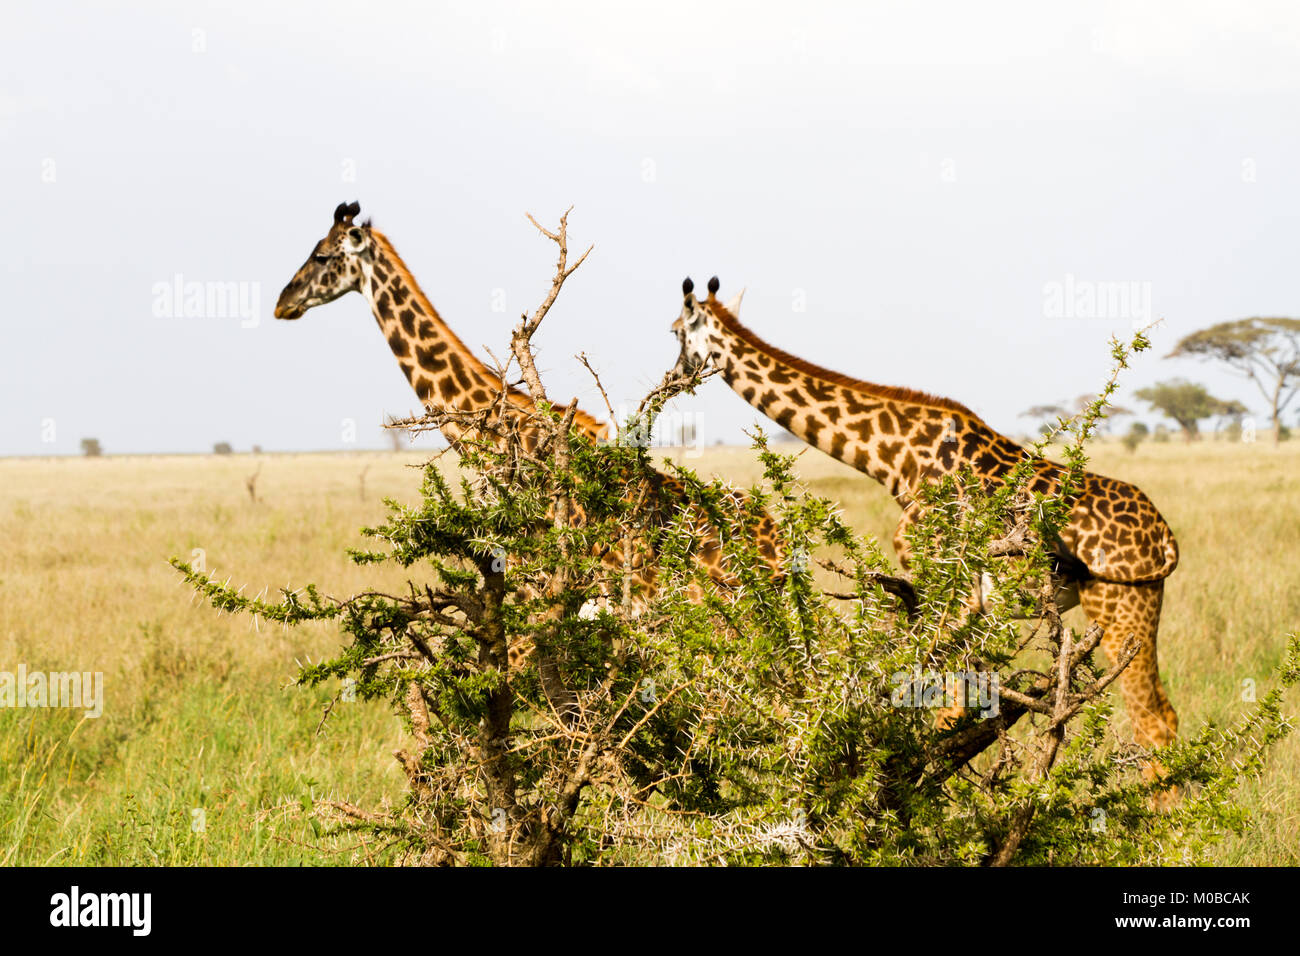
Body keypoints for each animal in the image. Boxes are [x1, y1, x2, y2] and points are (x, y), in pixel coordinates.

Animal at [676, 274, 1185, 754]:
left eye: (675, 331)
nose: (678, 376)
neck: (895, 456)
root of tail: (1167, 540)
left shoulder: (949, 586)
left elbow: (945, 710)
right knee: (1166, 716)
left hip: (1118, 601)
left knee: (1152, 724)